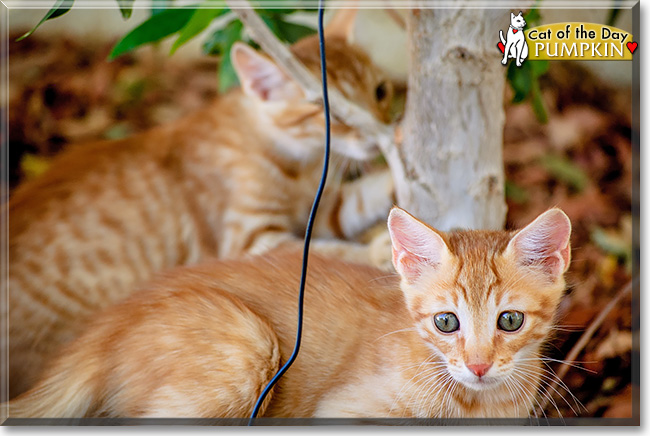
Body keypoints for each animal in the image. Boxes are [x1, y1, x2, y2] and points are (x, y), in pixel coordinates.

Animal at [5, 11, 392, 398]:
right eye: (336, 116)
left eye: (380, 91)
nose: (378, 134)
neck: (297, 163)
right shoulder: (251, 242)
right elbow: (326, 252)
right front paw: (379, 253)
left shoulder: (322, 209)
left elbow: (366, 194)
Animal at [8, 208, 568, 418]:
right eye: (445, 323)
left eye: (510, 321)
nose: (478, 365)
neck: (479, 405)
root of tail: (107, 323)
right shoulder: (340, 412)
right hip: (247, 351)